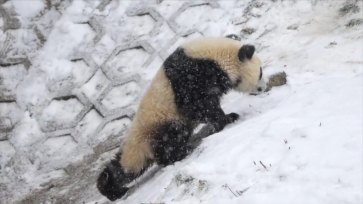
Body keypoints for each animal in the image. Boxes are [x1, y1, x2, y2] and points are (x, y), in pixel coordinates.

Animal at [96, 35, 268, 200]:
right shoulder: (191, 76)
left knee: (120, 166)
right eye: (260, 72)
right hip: (161, 124)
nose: (263, 88)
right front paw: (227, 118)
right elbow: (198, 104)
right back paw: (182, 152)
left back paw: (110, 187)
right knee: (170, 142)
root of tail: (139, 142)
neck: (216, 57)